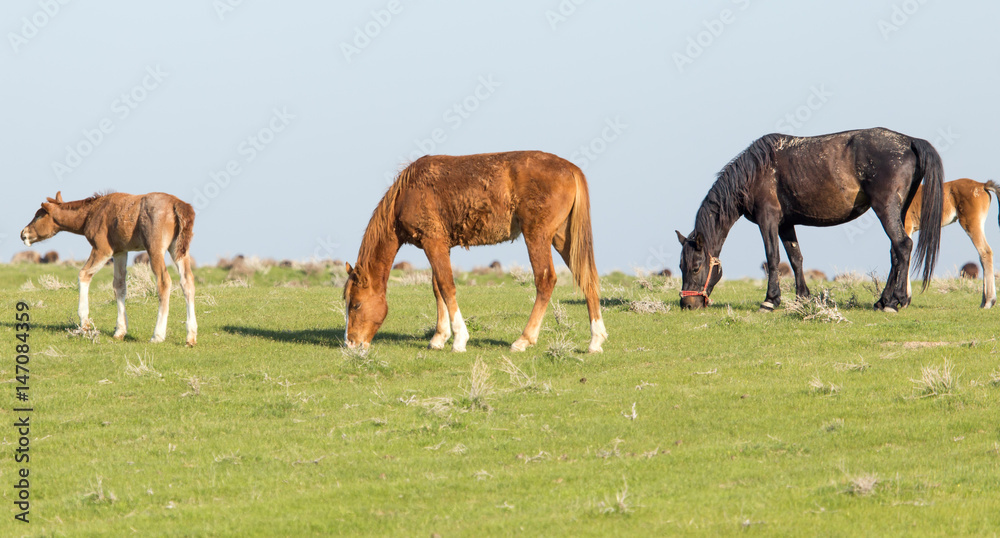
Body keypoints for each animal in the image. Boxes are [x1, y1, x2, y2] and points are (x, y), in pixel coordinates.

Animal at [20, 191, 198, 346]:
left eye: (38, 215)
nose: (23, 233)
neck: (90, 214)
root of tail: (178, 205)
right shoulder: (120, 251)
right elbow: (119, 286)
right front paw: (120, 330)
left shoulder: (103, 249)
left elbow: (83, 274)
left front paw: (85, 323)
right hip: (179, 250)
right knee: (187, 281)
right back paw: (191, 336)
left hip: (155, 249)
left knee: (164, 281)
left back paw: (158, 335)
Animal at [344, 151, 607, 353]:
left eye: (355, 305)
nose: (350, 344)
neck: (407, 192)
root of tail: (570, 168)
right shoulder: (441, 246)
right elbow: (437, 288)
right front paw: (439, 338)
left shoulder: (433, 242)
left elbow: (446, 286)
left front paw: (459, 339)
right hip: (563, 238)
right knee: (586, 278)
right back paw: (596, 340)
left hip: (538, 236)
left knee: (545, 281)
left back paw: (523, 340)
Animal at [677, 127, 943, 312]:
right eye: (681, 266)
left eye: (696, 266)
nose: (687, 305)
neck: (755, 172)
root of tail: (909, 141)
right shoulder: (785, 224)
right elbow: (796, 258)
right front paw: (802, 297)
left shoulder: (768, 220)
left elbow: (773, 258)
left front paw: (770, 301)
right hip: (897, 211)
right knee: (895, 252)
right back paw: (883, 300)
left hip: (885, 208)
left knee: (903, 246)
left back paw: (894, 301)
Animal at [904, 178, 998, 308]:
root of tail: (982, 185)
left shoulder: (906, 227)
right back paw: (984, 301)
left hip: (971, 224)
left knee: (985, 252)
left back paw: (989, 301)